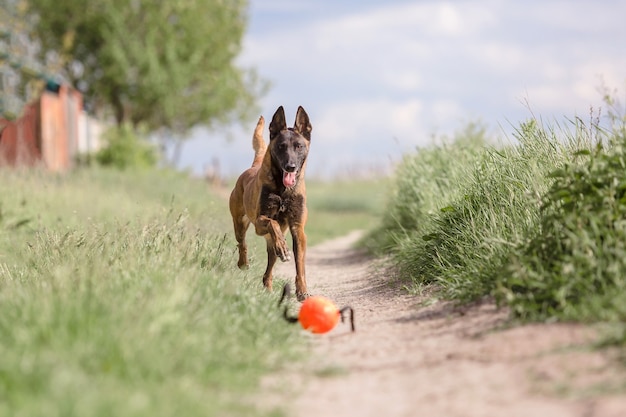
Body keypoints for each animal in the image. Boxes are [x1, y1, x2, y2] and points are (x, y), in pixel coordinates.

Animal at [228, 104, 310, 300]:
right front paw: (283, 246)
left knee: (269, 268)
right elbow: (273, 222)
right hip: (240, 223)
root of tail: (253, 166)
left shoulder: (298, 228)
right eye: (281, 147)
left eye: (299, 146)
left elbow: (300, 264)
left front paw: (302, 290)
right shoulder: (260, 222)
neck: (283, 190)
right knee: (242, 243)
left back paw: (268, 287)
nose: (290, 167)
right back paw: (244, 263)